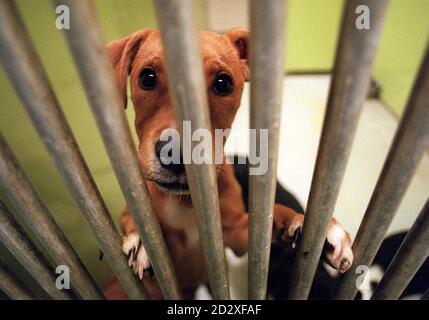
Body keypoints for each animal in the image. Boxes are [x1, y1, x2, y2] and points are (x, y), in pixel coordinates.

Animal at [103, 28, 352, 300]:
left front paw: (308, 223)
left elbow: (273, 214)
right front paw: (140, 242)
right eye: (147, 78)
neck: (186, 201)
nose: (176, 153)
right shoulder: (136, 214)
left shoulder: (237, 236)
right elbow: (134, 223)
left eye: (223, 84)